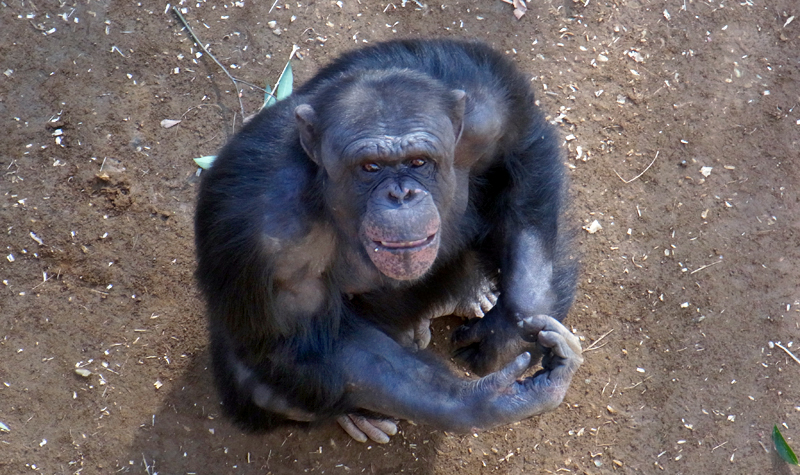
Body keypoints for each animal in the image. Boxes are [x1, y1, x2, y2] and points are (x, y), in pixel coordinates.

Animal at [194, 39, 580, 444]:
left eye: (418, 161)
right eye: (370, 167)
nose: (401, 194)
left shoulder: (486, 109)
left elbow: (523, 158)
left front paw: (508, 331)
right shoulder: (263, 232)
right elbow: (303, 345)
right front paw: (486, 401)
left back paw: (470, 292)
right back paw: (359, 414)